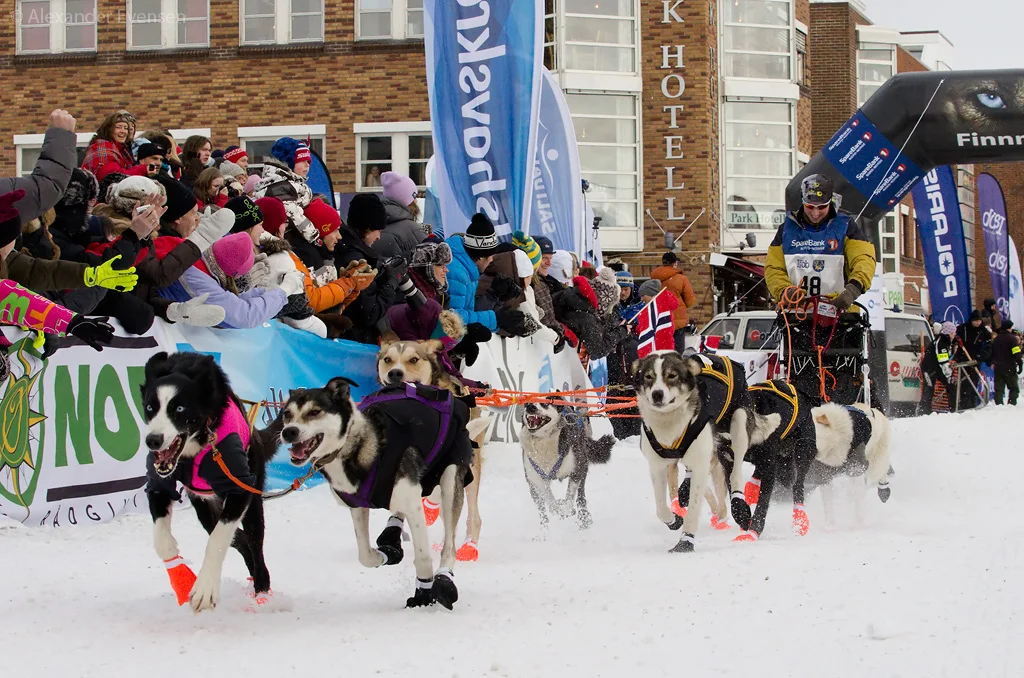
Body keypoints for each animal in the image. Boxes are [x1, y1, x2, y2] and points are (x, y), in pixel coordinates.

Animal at [141, 352, 282, 612]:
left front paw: (204, 589)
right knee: (239, 541)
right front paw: (182, 578)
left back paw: (261, 592)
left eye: (179, 408)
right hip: (205, 508)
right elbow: (163, 543)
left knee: (254, 545)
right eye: (150, 407)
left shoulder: (240, 490)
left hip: (253, 500)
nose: (152, 440)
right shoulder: (159, 484)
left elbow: (217, 540)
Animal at [280, 377, 490, 609]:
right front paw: (383, 556)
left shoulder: (414, 506)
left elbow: (423, 557)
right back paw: (391, 540)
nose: (288, 432)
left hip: (449, 478)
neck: (358, 446)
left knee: (449, 544)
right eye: (286, 414)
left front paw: (423, 594)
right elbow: (364, 555)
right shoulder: (358, 506)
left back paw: (444, 579)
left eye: (314, 412)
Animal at [377, 335, 488, 561]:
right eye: (387, 360)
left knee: (472, 515)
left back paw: (469, 545)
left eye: (413, 359)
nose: (395, 373)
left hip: (472, 468)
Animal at [520, 399, 615, 530]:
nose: (530, 407)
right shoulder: (535, 478)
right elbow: (550, 500)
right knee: (542, 510)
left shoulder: (577, 469)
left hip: (582, 467)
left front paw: (567, 509)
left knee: (580, 497)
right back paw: (544, 530)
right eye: (527, 403)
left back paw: (583, 518)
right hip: (533, 491)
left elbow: (570, 496)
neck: (543, 440)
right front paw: (558, 509)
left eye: (545, 403)